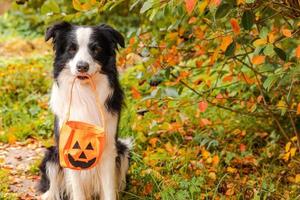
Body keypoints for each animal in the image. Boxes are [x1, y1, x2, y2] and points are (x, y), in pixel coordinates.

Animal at [38, 21, 130, 199]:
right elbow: (77, 189)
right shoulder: (67, 148)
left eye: (96, 49)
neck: (84, 93)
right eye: (71, 49)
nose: (82, 67)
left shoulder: (108, 147)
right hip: (51, 155)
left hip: (123, 150)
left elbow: (109, 189)